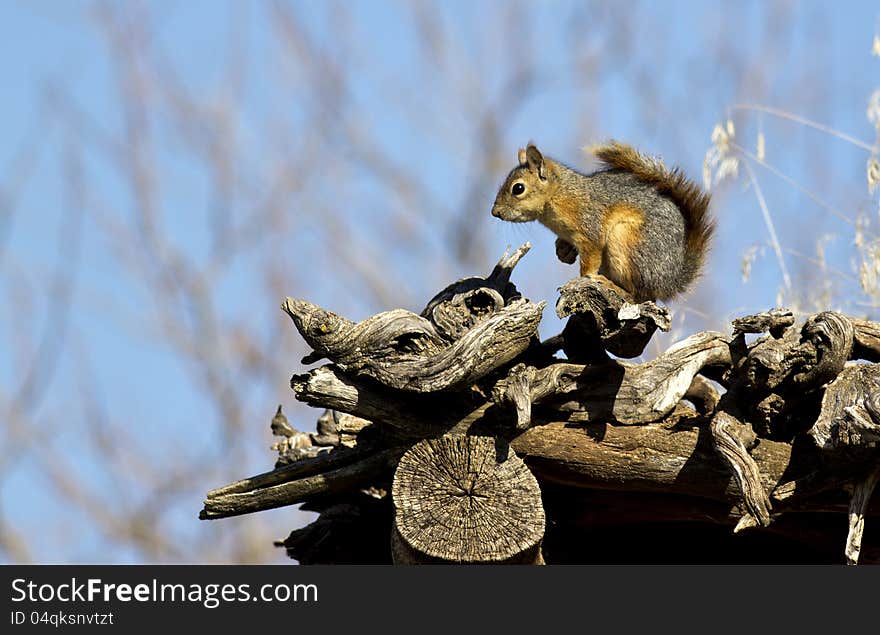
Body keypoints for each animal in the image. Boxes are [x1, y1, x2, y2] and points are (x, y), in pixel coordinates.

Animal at [492, 142, 712, 306]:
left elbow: (590, 258)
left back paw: (612, 286)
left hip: (625, 242)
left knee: (639, 296)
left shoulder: (590, 225)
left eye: (518, 188)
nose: (495, 213)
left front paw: (586, 277)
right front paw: (563, 251)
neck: (559, 195)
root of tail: (670, 281)